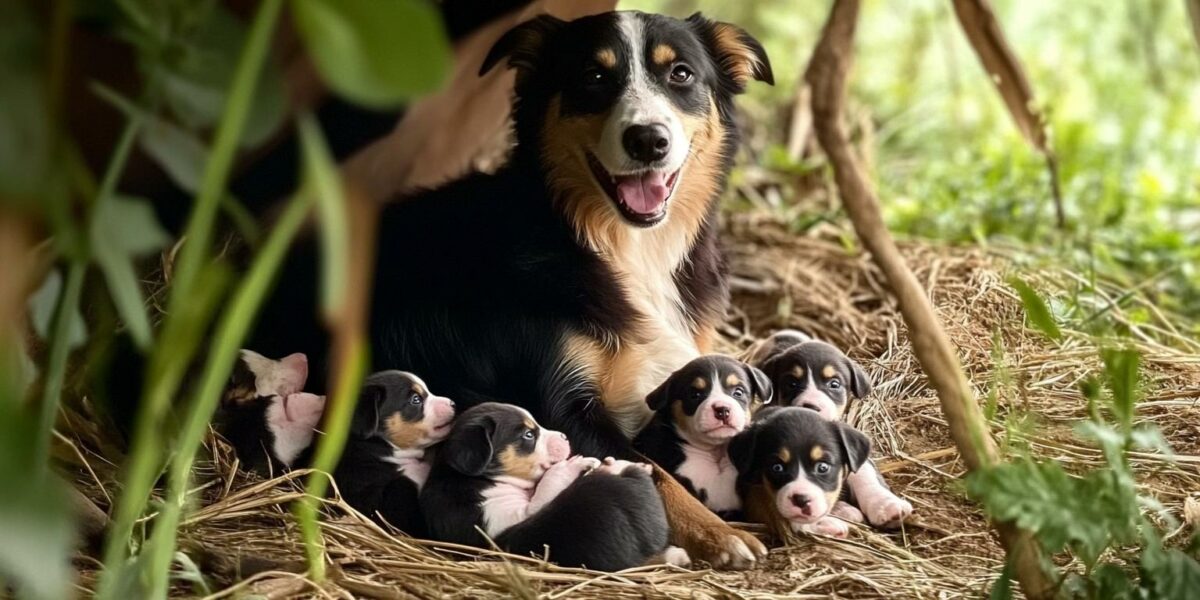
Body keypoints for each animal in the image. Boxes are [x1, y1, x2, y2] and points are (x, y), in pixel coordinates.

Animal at [422, 400, 681, 568]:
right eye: (528, 435)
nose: (565, 437)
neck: (479, 479)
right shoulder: (504, 518)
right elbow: (547, 485)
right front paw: (572, 464)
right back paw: (616, 467)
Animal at [724, 405, 868, 537]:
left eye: (822, 467)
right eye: (777, 467)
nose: (801, 500)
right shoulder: (752, 493)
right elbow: (769, 509)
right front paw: (824, 524)